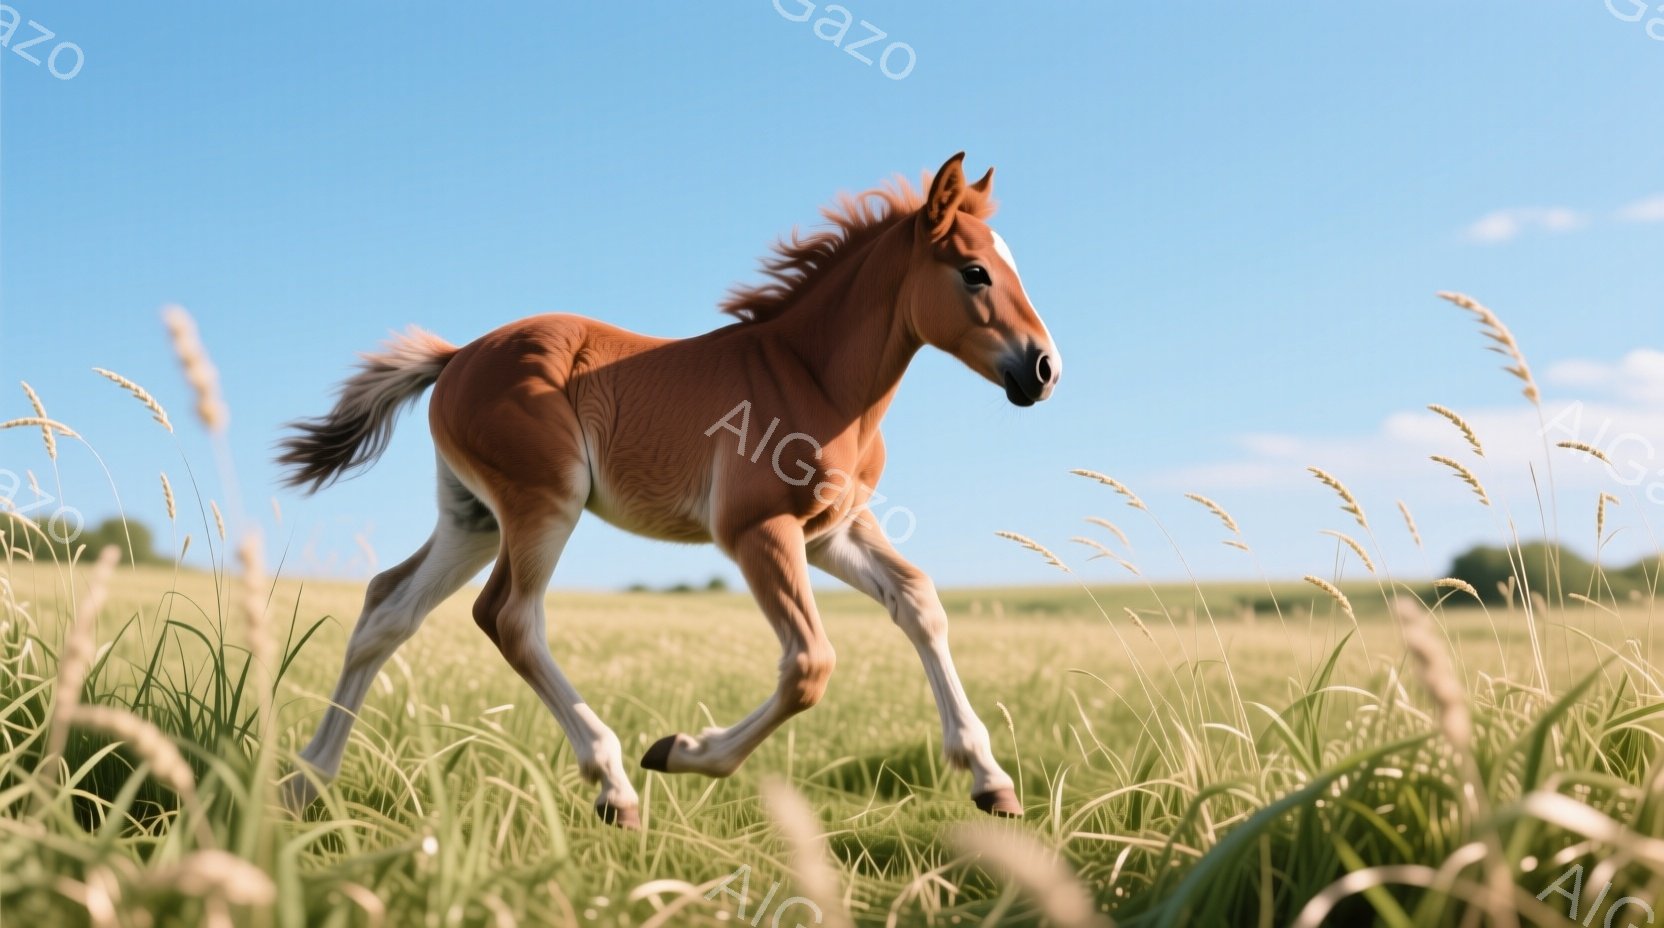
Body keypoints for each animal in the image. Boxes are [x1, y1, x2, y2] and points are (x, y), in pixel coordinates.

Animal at [277, 152, 1061, 828]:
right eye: (974, 272)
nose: (1044, 368)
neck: (814, 376)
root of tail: (456, 356)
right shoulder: (757, 530)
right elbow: (809, 664)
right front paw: (683, 751)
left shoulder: (833, 530)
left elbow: (919, 603)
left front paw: (991, 780)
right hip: (543, 505)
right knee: (510, 616)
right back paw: (614, 786)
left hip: (473, 517)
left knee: (389, 607)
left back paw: (306, 781)